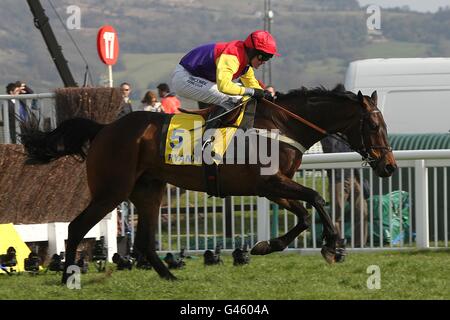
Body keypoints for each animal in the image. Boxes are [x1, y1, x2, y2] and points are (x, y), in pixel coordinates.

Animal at [19, 85, 396, 282]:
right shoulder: (271, 182)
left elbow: (304, 214)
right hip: (112, 190)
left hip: (149, 189)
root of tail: (104, 129)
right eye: (373, 126)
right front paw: (333, 246)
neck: (282, 125)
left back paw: (170, 277)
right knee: (76, 227)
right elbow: (316, 198)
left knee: (143, 240)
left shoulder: (272, 186)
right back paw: (68, 276)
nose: (389, 166)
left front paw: (266, 246)